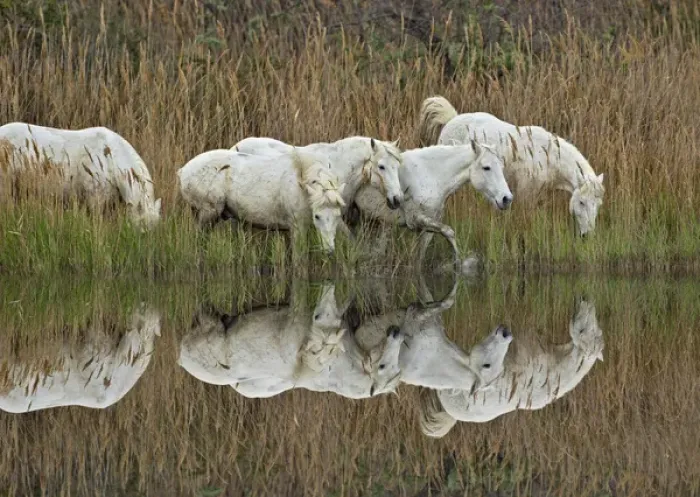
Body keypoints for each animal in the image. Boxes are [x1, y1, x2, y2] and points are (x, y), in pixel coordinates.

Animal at [176, 148, 347, 258]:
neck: (302, 180)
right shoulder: (297, 227)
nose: (329, 251)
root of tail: (182, 171)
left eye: (338, 215)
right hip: (208, 214)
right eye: (317, 216)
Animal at [352, 140, 513, 266]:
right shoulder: (417, 219)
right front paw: (459, 264)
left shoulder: (428, 229)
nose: (507, 198)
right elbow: (449, 232)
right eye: (486, 167)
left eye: (501, 166)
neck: (428, 175)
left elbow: (419, 259)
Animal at [418, 97, 605, 236]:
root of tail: (452, 119)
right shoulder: (525, 193)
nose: (587, 235)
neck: (548, 155)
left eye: (598, 204)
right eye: (581, 202)